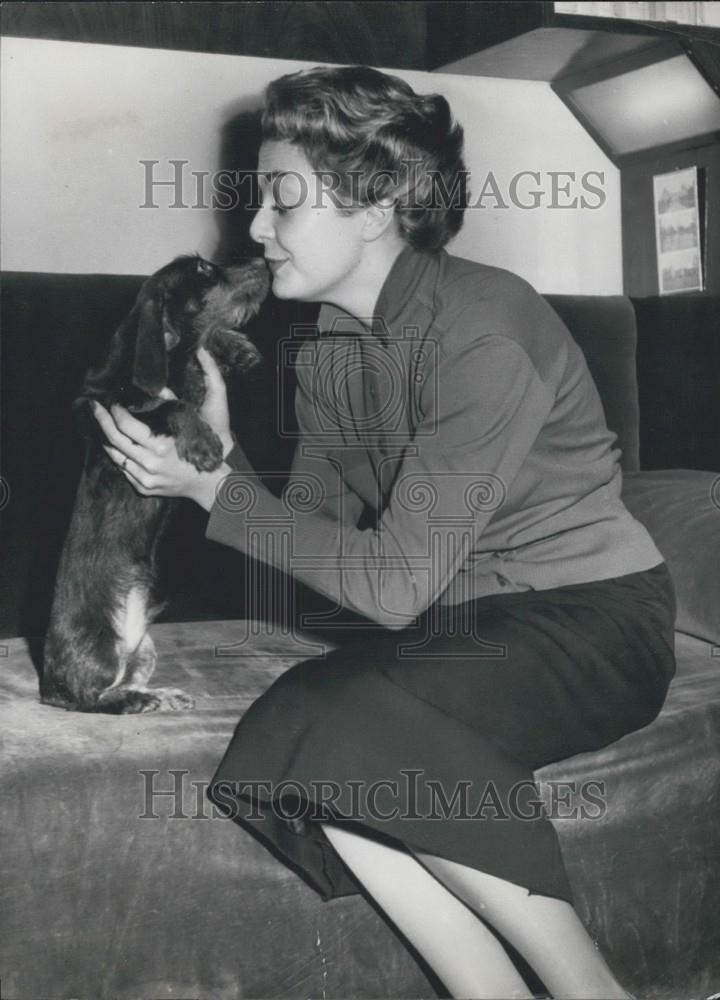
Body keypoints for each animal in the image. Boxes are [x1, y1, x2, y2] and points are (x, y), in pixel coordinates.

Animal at [41, 254, 270, 716]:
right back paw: (136, 700)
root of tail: (47, 688)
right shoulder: (105, 409)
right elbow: (171, 404)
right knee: (94, 699)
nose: (262, 261)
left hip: (143, 647)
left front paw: (236, 347)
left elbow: (207, 348)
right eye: (203, 270)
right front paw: (203, 443)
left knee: (127, 680)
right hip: (101, 648)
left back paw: (158, 695)